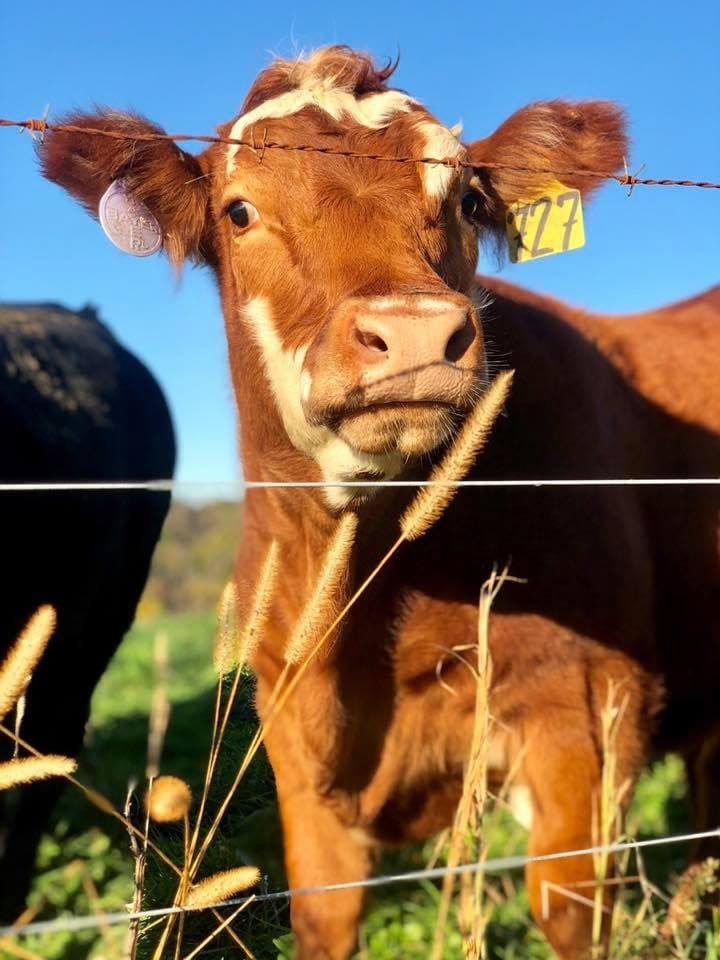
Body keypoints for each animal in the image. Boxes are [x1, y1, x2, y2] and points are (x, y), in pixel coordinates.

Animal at [39, 46, 719, 959]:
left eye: (466, 200)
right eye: (240, 210)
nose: (417, 334)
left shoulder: (587, 713)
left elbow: (570, 915)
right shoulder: (292, 736)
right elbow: (323, 917)